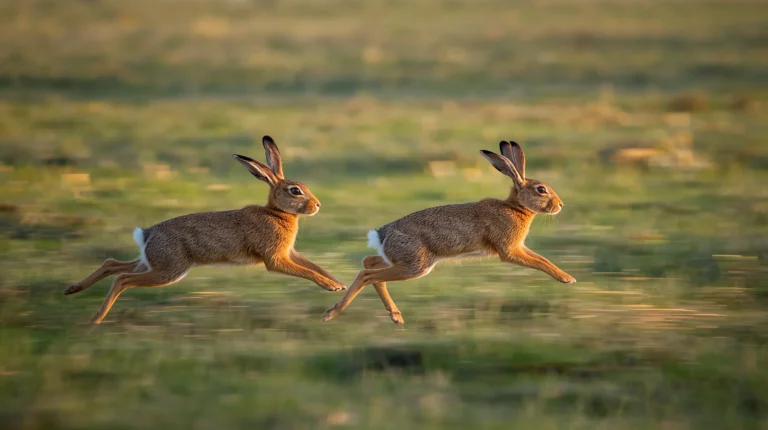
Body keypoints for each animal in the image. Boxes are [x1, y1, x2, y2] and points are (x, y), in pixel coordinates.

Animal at [65, 136, 346, 324]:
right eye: (295, 191)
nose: (317, 205)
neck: (277, 212)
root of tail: (147, 234)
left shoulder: (290, 253)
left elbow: (314, 266)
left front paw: (339, 284)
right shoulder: (275, 259)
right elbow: (306, 271)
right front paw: (331, 287)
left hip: (152, 263)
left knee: (113, 264)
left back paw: (73, 290)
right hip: (170, 270)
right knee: (123, 279)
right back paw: (95, 320)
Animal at [322, 140, 575, 325]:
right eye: (541, 190)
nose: (561, 205)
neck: (516, 208)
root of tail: (381, 234)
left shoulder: (518, 247)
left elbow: (543, 259)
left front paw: (567, 276)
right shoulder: (509, 251)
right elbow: (539, 262)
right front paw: (567, 279)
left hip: (400, 260)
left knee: (370, 263)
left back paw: (395, 316)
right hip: (416, 266)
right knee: (367, 275)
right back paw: (333, 313)